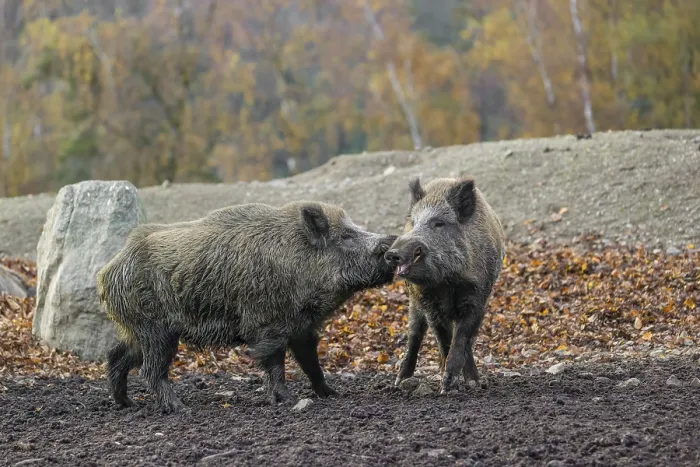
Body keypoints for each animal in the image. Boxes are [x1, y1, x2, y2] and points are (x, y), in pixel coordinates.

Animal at [97, 201, 397, 413]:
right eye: (345, 236)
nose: (391, 240)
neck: (300, 262)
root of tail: (108, 271)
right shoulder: (269, 324)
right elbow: (275, 363)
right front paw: (287, 399)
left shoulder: (303, 327)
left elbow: (311, 362)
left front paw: (332, 394)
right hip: (156, 330)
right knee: (150, 370)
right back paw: (180, 408)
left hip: (138, 331)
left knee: (117, 355)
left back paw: (125, 404)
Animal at [384, 176, 505, 393]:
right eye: (414, 222)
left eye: (438, 223)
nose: (392, 253)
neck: (447, 282)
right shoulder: (429, 305)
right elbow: (444, 340)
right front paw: (447, 387)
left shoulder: (477, 299)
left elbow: (461, 340)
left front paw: (459, 385)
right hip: (413, 302)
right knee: (414, 335)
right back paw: (400, 381)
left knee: (467, 341)